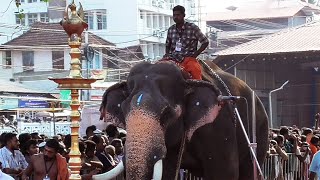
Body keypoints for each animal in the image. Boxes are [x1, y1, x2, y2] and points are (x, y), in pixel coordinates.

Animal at [95, 60, 270, 180]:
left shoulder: (219, 125)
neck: (186, 77)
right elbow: (166, 173)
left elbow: (224, 173)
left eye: (167, 114)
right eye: (124, 111)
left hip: (260, 130)